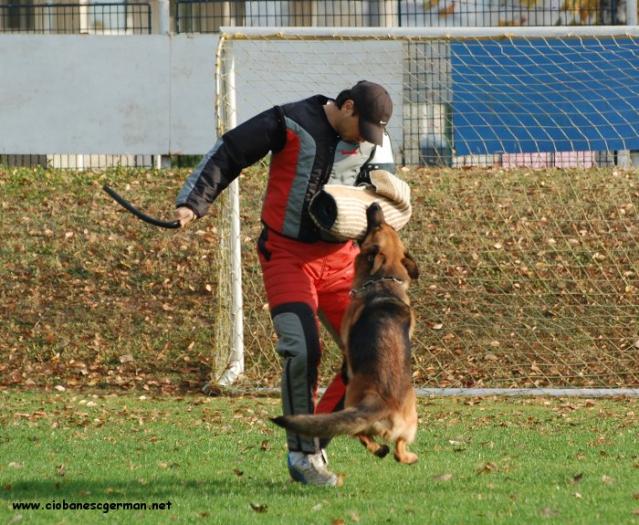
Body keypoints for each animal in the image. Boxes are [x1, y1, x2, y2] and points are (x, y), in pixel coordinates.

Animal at [274, 201, 420, 462]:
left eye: (378, 226)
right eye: (388, 226)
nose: (374, 204)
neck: (384, 281)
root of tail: (383, 401)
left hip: (353, 401)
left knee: (362, 436)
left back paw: (380, 449)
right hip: (412, 418)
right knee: (399, 449)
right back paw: (405, 456)